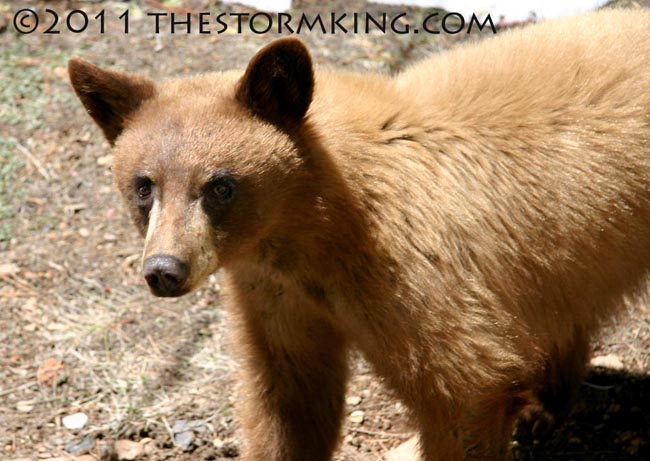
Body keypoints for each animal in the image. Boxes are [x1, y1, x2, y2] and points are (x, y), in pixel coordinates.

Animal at [69, 8, 650, 460]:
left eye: (220, 185)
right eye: (144, 186)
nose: (164, 270)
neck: (315, 228)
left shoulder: (417, 278)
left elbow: (465, 386)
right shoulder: (278, 294)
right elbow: (290, 398)